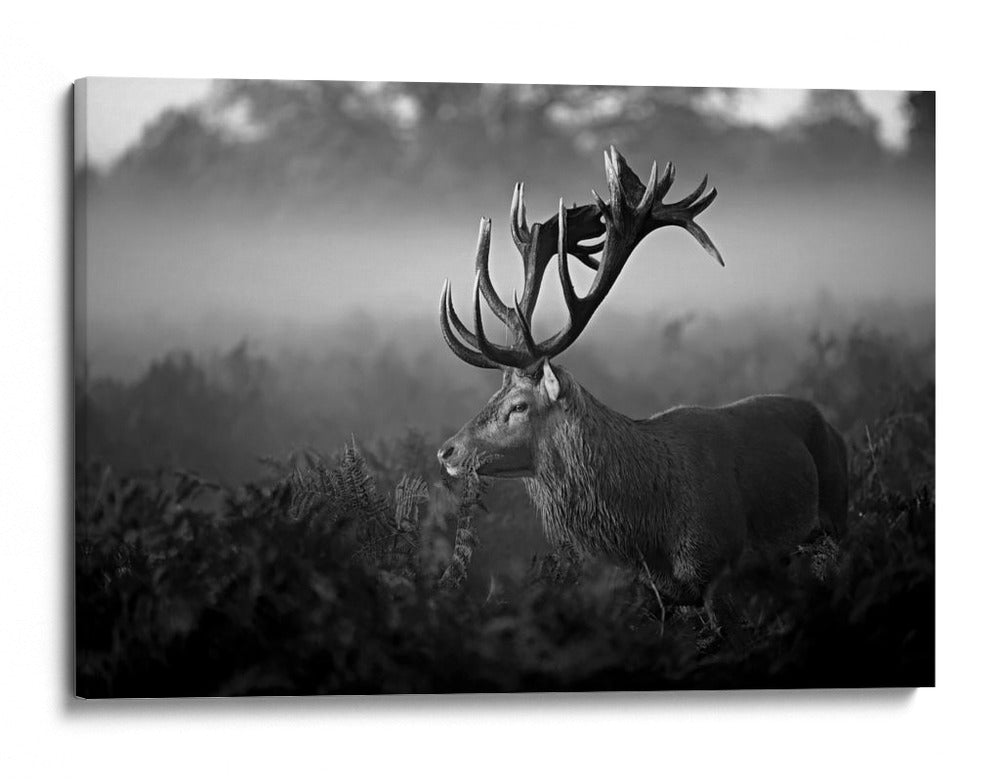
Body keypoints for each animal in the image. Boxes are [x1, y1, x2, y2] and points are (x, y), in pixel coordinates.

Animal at [436, 146, 848, 613]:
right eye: (494, 394)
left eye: (519, 405)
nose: (447, 451)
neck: (650, 532)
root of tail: (833, 426)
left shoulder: (717, 569)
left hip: (839, 513)